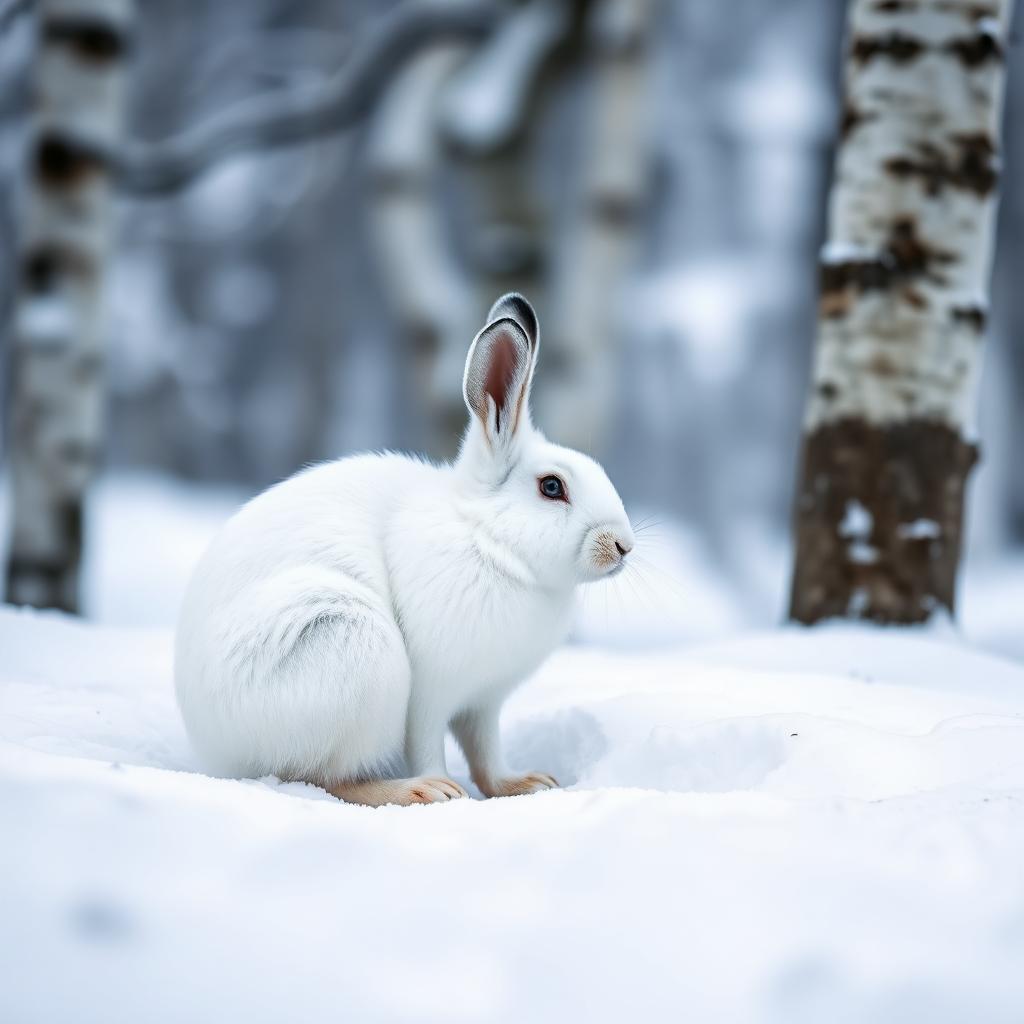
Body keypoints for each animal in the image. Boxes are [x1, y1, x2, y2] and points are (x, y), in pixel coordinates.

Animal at [174, 293, 634, 806]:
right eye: (552, 487)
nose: (623, 546)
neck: (487, 540)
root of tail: (212, 744)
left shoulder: (484, 702)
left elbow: (486, 752)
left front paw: (524, 784)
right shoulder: (429, 694)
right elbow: (428, 743)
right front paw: (446, 788)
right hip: (354, 653)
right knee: (325, 777)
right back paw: (417, 790)